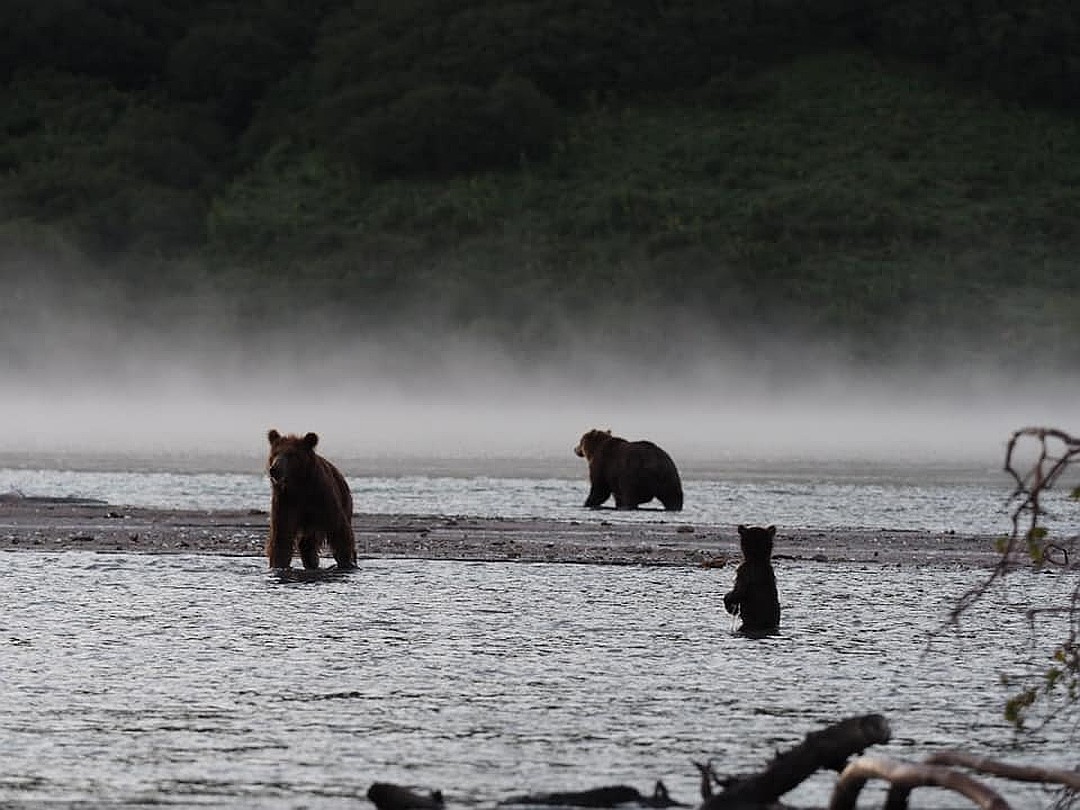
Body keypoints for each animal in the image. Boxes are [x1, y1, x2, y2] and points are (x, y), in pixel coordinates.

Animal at [265, 432, 358, 570]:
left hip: (344, 500)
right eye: (275, 453)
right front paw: (278, 565)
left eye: (291, 454)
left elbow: (339, 529)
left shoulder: (321, 497)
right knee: (307, 542)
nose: (274, 469)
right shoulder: (285, 501)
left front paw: (345, 562)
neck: (299, 486)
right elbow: (281, 536)